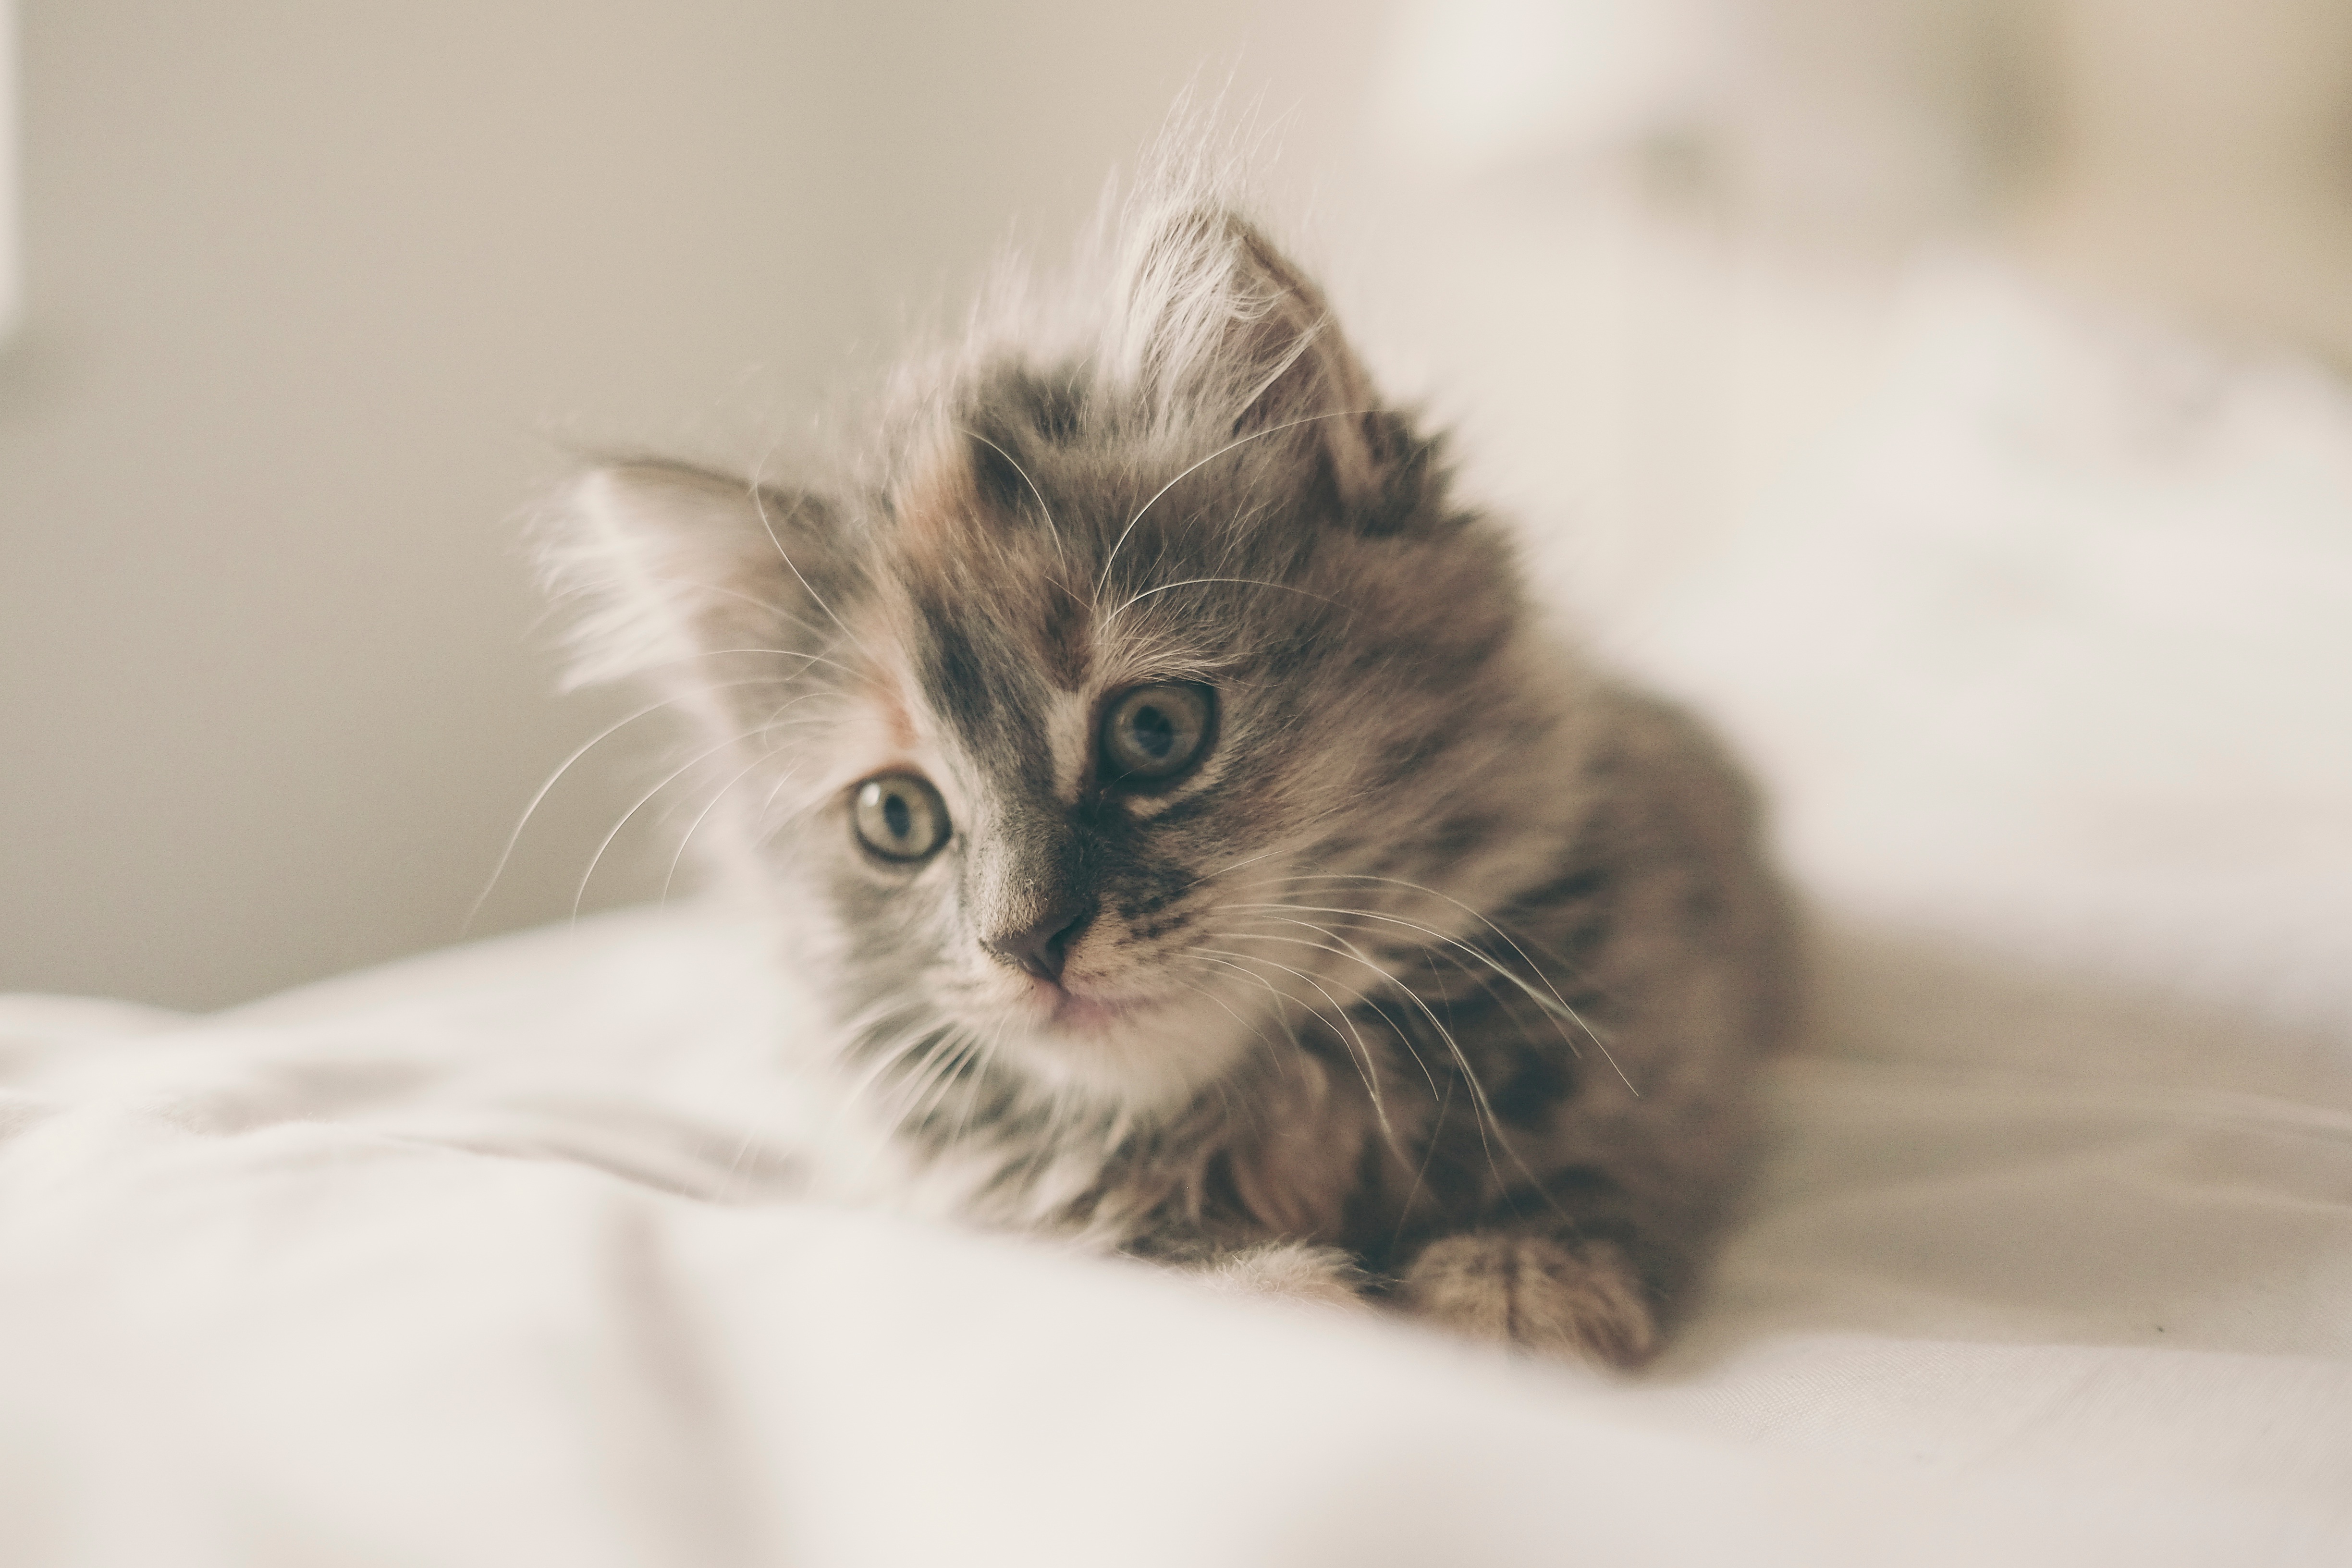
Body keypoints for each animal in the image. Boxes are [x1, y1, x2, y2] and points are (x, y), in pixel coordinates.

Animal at [555, 177, 1797, 1363]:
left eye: (1154, 731)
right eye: (896, 818)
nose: (1026, 944)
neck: (1282, 1109)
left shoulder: (1671, 1035)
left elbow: (1602, 1166)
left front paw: (1518, 1289)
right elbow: (1164, 1262)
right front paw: (1295, 1294)